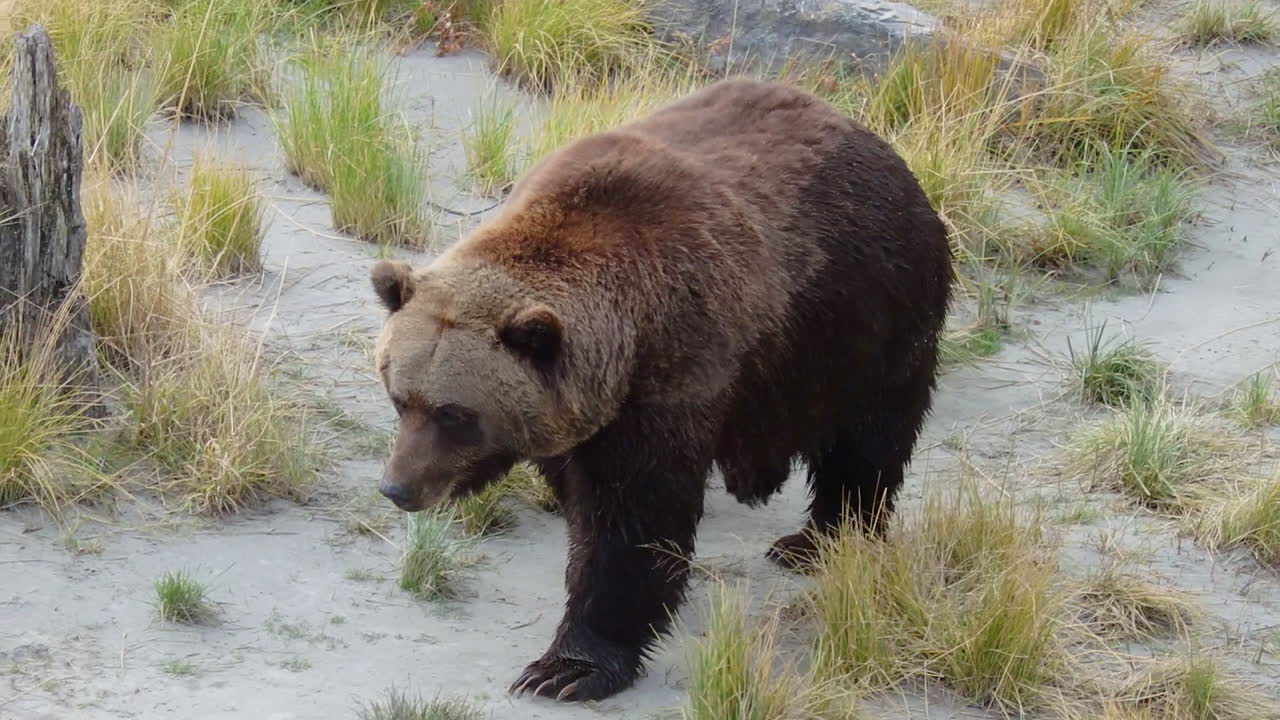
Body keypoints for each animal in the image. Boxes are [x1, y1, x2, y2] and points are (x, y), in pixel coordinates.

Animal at [368, 77, 953, 703]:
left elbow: (631, 526)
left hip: (865, 318)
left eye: (456, 414)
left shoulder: (671, 378)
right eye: (400, 398)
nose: (399, 488)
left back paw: (817, 541)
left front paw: (569, 666)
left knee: (865, 442)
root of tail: (880, 145)